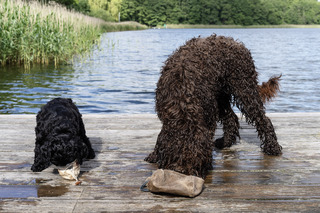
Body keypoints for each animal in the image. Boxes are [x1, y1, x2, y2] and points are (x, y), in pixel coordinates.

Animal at [146, 34, 282, 179]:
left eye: (195, 159)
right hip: (220, 95)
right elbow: (161, 136)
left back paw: (272, 147)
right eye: (175, 156)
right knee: (231, 118)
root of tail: (237, 43)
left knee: (263, 119)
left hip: (244, 86)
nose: (181, 172)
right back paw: (225, 142)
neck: (184, 100)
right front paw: (154, 154)